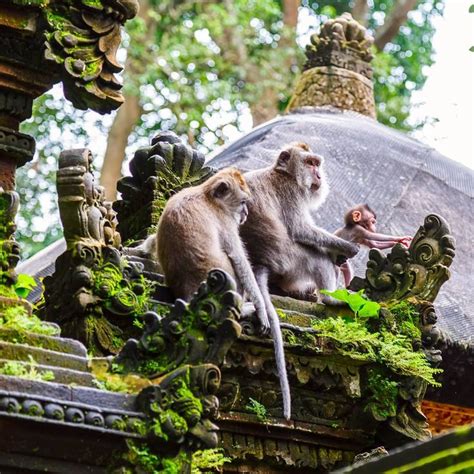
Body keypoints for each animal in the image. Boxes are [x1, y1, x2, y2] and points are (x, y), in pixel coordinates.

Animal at [156, 167, 292, 418]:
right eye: (243, 202)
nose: (246, 213)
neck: (206, 196)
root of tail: (189, 296)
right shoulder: (225, 222)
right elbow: (239, 259)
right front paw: (261, 310)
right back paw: (248, 308)